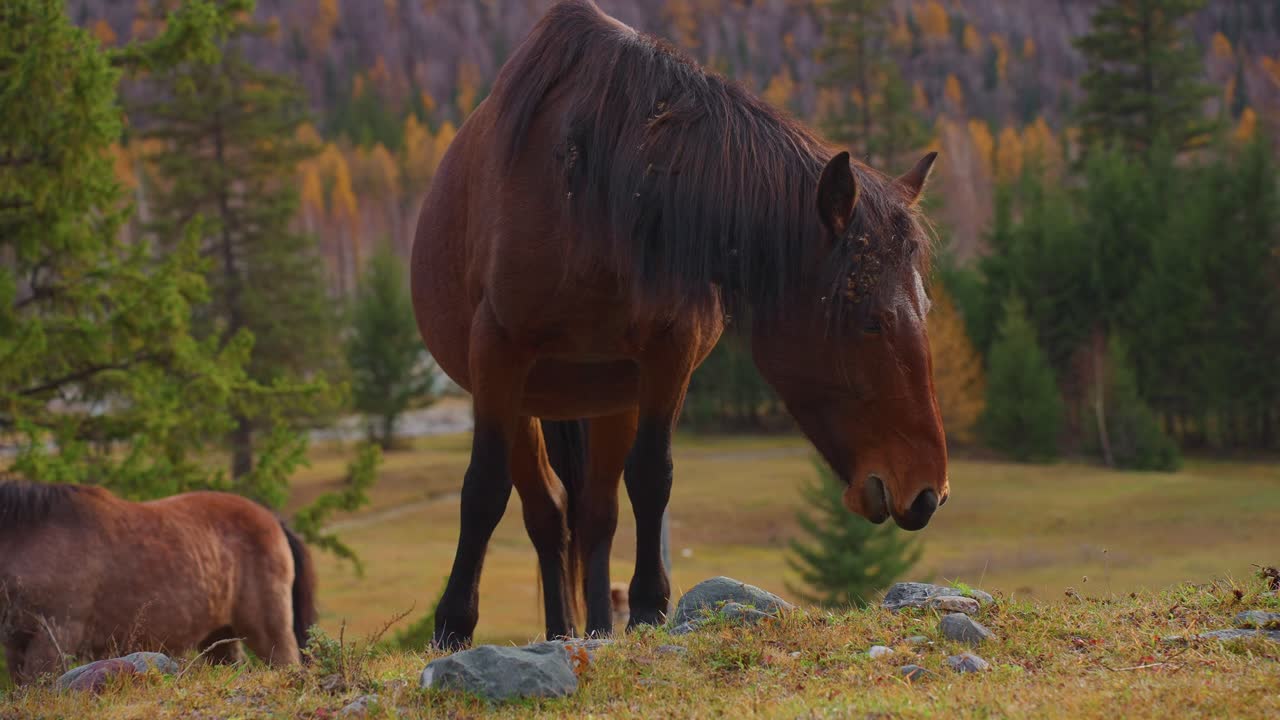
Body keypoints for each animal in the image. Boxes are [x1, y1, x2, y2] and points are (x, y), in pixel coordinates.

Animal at [0, 481, 316, 685]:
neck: (31, 539)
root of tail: (272, 520)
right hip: (219, 637)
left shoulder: (53, 637)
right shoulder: (15, 645)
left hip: (268, 631)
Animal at [410, 0, 949, 650]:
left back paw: (595, 628)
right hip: (528, 397)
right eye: (870, 321)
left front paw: (647, 608)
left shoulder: (667, 353)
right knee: (548, 514)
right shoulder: (498, 356)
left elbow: (652, 477)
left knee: (594, 514)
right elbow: (483, 489)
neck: (594, 195)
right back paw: (560, 630)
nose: (927, 492)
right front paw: (452, 625)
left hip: (608, 395)